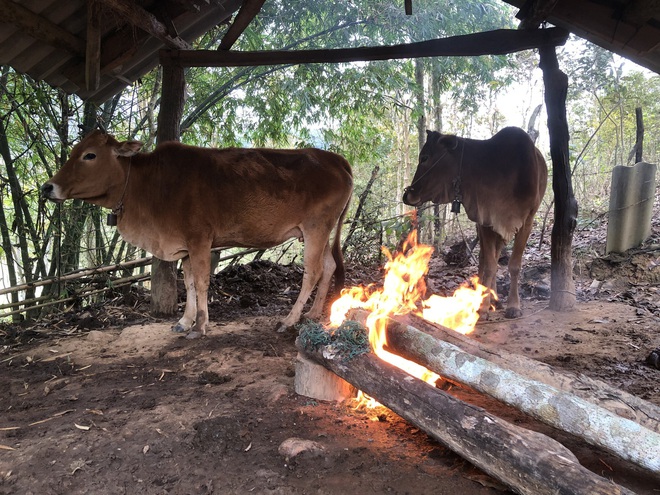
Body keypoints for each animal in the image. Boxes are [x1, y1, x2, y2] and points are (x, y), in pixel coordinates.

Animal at [42, 132, 354, 340]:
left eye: (90, 155)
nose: (47, 187)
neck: (149, 186)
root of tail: (336, 159)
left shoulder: (200, 240)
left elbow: (202, 282)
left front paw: (201, 325)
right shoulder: (186, 246)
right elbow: (189, 282)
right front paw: (185, 321)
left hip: (315, 228)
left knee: (312, 271)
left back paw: (289, 320)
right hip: (319, 232)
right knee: (328, 266)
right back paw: (312, 314)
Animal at [402, 128, 548, 320]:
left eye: (424, 158)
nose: (407, 195)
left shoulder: (527, 221)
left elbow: (514, 265)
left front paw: (513, 306)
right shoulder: (485, 219)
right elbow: (490, 265)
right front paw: (484, 306)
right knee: (484, 259)